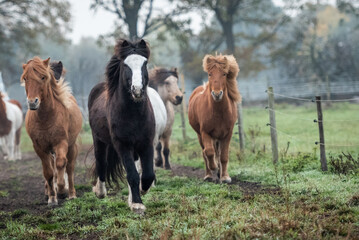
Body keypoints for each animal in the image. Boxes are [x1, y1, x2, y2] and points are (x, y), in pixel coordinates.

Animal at [21, 57, 83, 205]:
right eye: (25, 78)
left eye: (43, 77)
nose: (32, 102)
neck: (46, 118)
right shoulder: (39, 147)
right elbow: (48, 172)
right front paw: (52, 198)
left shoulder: (61, 143)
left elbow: (61, 164)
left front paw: (61, 191)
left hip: (72, 147)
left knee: (69, 168)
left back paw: (71, 194)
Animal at [89, 39, 156, 214]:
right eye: (125, 65)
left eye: (145, 63)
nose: (137, 90)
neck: (134, 114)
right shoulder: (123, 145)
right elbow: (132, 174)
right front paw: (138, 204)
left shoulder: (146, 143)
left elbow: (147, 174)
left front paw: (141, 192)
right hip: (99, 140)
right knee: (101, 162)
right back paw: (100, 192)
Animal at [188, 53, 242, 183]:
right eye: (209, 74)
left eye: (224, 74)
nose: (217, 94)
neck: (218, 112)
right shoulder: (205, 132)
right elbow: (208, 152)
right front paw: (214, 168)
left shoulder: (227, 134)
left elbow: (224, 156)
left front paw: (225, 177)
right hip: (201, 135)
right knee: (205, 153)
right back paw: (209, 175)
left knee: (218, 153)